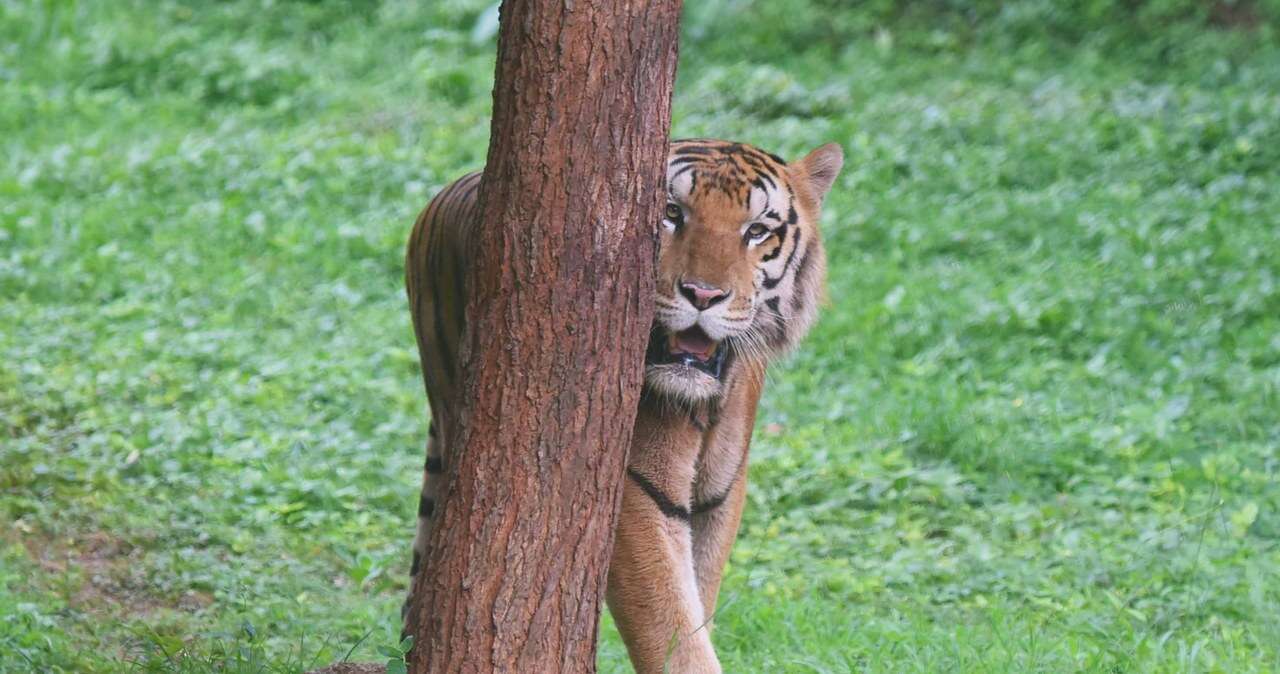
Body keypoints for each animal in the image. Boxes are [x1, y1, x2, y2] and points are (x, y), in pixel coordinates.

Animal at [399, 140, 839, 670]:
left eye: (756, 231)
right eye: (671, 213)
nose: (704, 294)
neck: (705, 405)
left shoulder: (721, 494)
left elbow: (700, 599)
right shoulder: (635, 491)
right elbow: (674, 630)